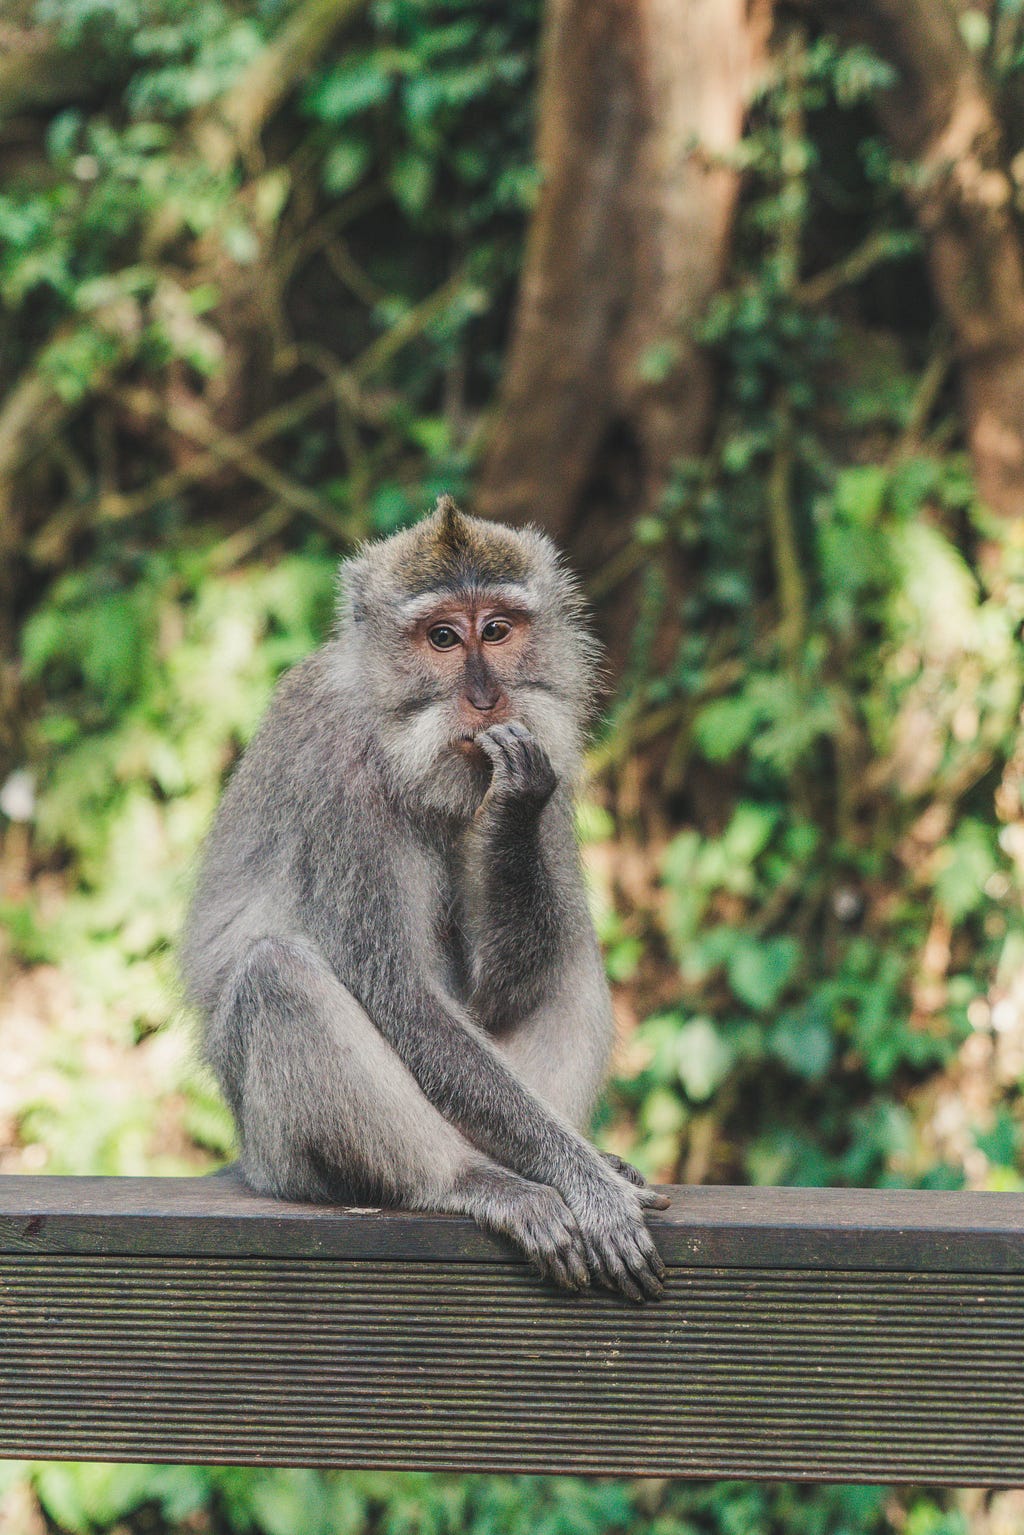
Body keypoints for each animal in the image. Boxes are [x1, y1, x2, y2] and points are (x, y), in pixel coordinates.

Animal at [180, 496, 668, 1301]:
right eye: (442, 637)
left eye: (496, 629)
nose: (485, 698)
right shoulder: (339, 781)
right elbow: (402, 995)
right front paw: (586, 1185)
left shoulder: (552, 757)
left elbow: (498, 989)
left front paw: (512, 805)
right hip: (283, 1158)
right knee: (277, 975)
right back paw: (475, 1179)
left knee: (569, 955)